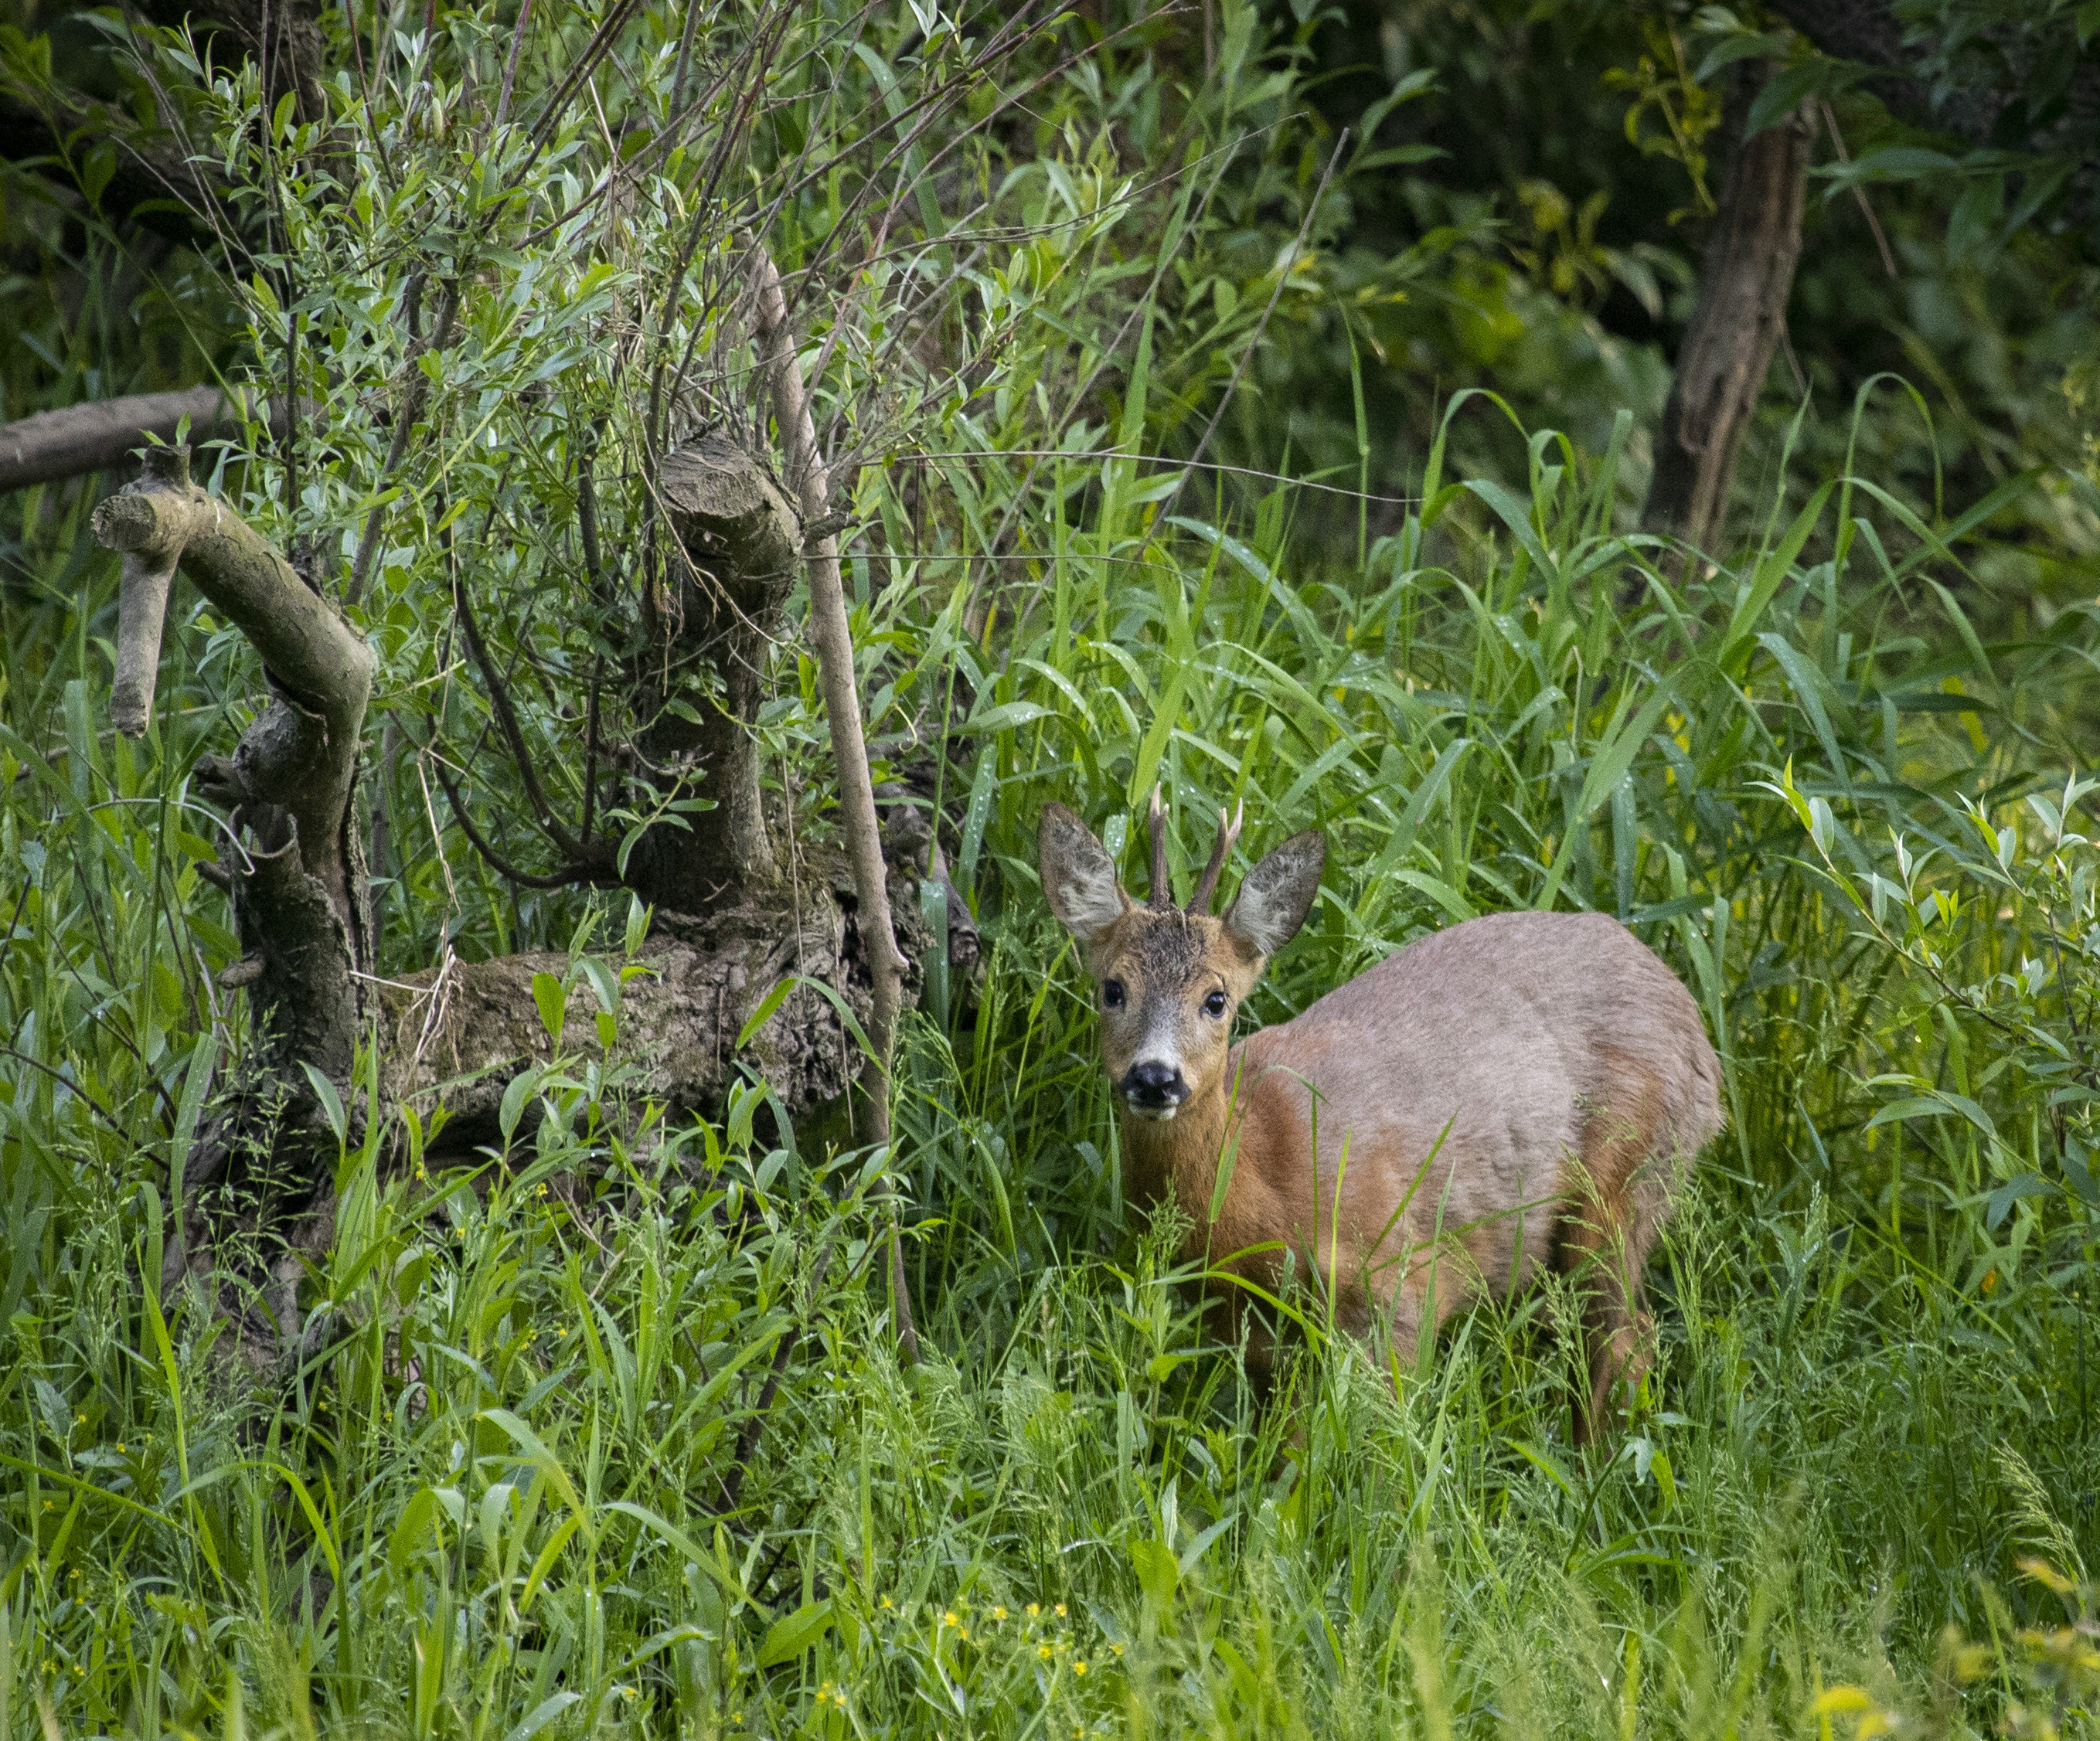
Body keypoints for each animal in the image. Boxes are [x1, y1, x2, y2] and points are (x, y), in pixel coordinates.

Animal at [1038, 791, 1724, 1444]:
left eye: (1215, 998)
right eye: (1112, 988)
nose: (1154, 1077)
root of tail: (1698, 1033)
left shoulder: (1405, 1289)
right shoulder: (1253, 1337)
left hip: (1627, 1176)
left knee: (1619, 1339)